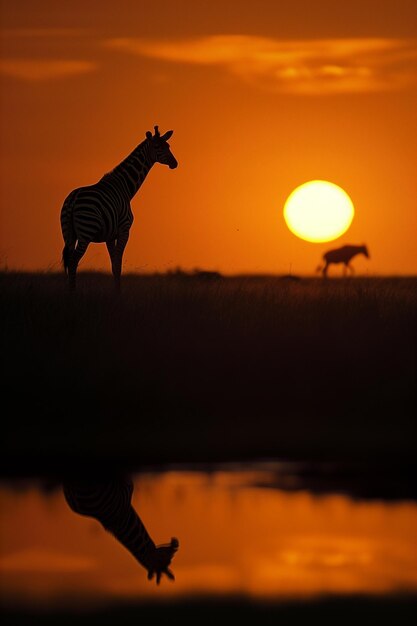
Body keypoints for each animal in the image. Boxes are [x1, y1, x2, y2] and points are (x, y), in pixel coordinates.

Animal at [60, 127, 177, 292]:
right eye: (157, 147)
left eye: (168, 146)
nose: (175, 163)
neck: (124, 187)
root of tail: (73, 200)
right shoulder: (124, 229)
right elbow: (118, 265)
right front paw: (118, 293)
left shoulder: (110, 235)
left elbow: (113, 264)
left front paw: (116, 291)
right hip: (86, 230)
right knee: (73, 260)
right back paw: (73, 293)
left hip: (68, 233)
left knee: (69, 260)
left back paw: (70, 292)